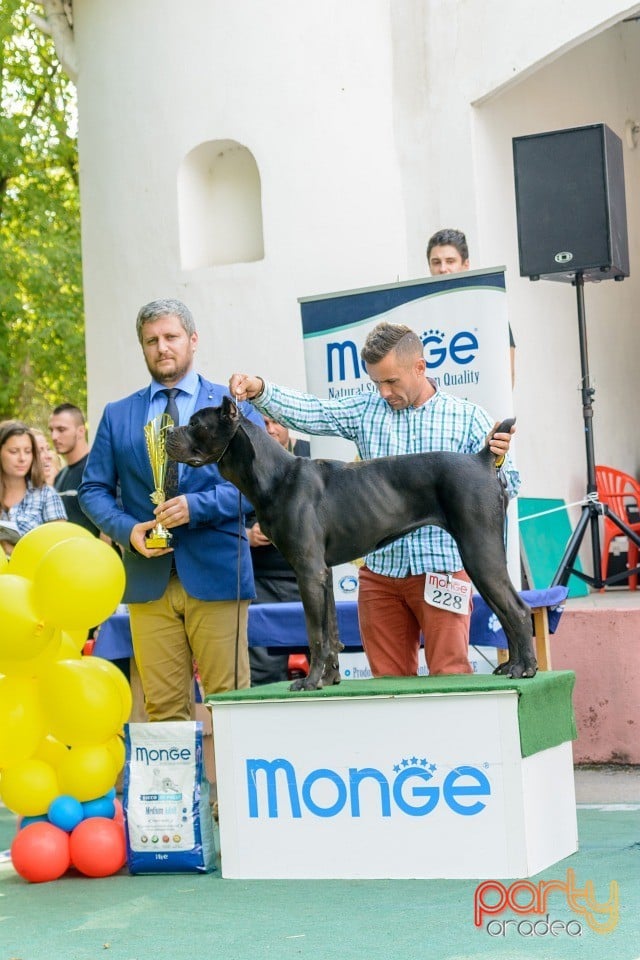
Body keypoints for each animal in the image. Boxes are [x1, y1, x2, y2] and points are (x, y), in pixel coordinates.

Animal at [166, 398, 536, 688]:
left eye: (195, 423)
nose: (167, 431)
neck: (275, 477)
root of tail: (482, 459)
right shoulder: (323, 572)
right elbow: (330, 631)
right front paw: (329, 679)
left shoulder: (308, 571)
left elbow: (314, 632)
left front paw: (309, 682)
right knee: (506, 611)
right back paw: (510, 665)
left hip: (479, 551)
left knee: (517, 610)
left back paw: (526, 669)